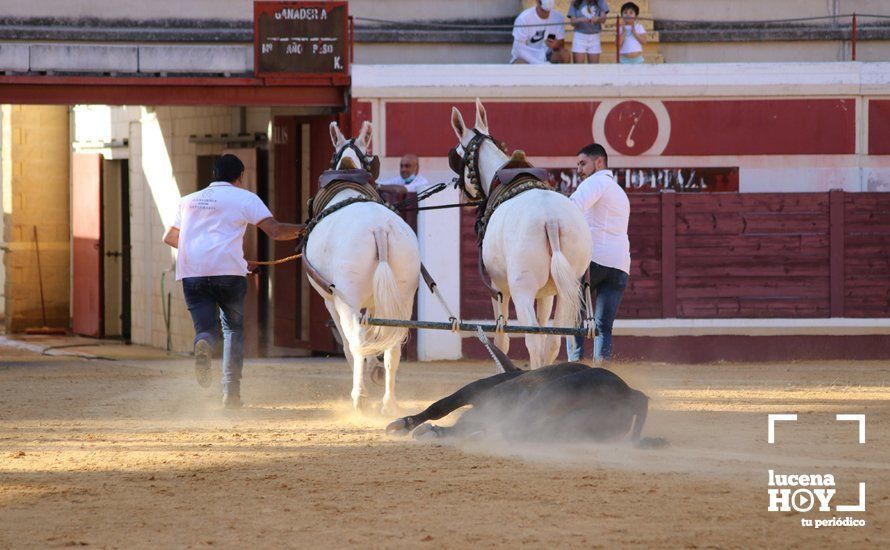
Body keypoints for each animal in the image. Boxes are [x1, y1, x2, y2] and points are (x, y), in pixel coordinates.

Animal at [304, 122, 418, 414]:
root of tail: (379, 228)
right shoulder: (378, 301)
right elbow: (376, 338)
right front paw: (375, 368)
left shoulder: (331, 301)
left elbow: (348, 344)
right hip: (403, 297)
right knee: (393, 348)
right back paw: (389, 402)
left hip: (348, 299)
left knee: (355, 340)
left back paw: (360, 396)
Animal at [450, 101, 588, 370]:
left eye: (456, 156)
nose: (461, 194)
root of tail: (551, 219)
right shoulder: (547, 294)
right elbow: (546, 335)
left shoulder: (498, 288)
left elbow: (501, 340)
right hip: (568, 287)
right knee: (552, 340)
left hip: (521, 290)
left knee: (532, 339)